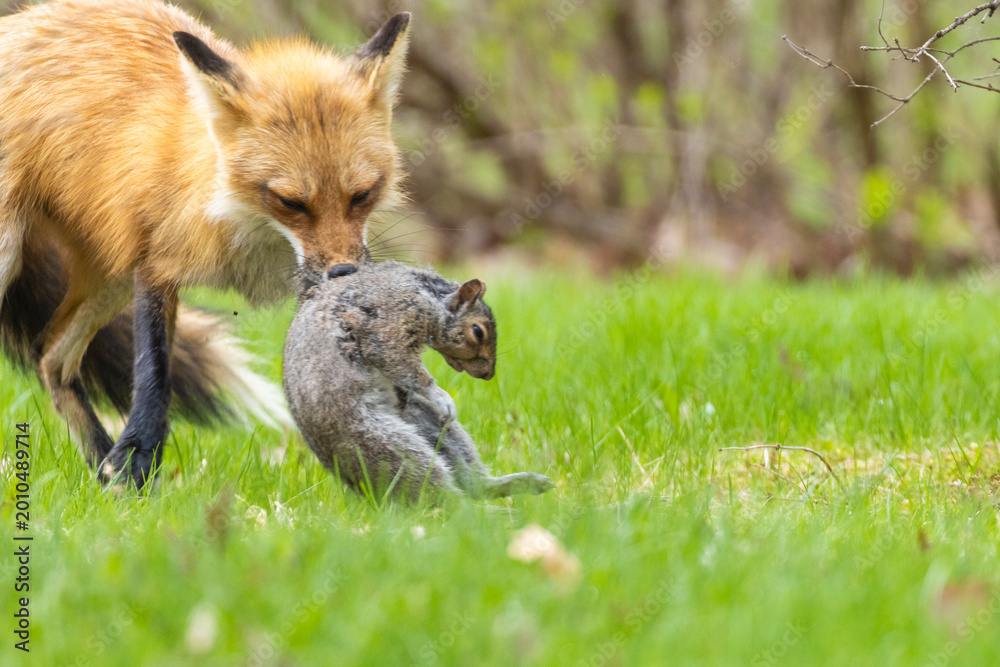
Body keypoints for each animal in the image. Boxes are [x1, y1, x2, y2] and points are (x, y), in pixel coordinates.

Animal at [0, 0, 412, 488]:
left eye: (362, 195)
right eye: (291, 202)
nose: (344, 273)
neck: (248, 229)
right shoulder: (157, 264)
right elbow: (154, 373)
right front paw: (138, 461)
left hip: (109, 277)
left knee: (49, 359)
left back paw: (101, 468)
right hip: (11, 253)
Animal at [283, 260, 554, 502]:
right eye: (477, 331)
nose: (487, 374)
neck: (425, 293)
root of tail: (363, 489)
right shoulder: (391, 321)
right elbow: (396, 359)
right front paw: (441, 396)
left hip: (430, 424)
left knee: (473, 485)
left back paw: (520, 484)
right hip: (382, 447)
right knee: (443, 498)